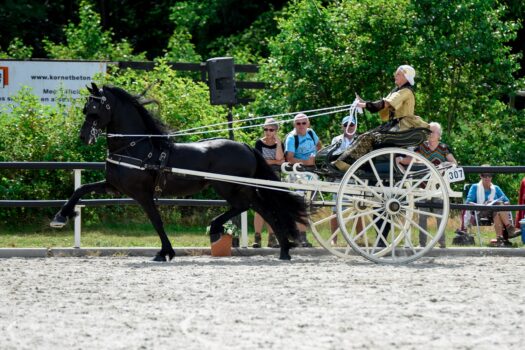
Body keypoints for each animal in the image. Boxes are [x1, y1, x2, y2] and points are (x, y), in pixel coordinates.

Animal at [50, 83, 304, 262]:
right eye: (86, 108)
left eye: (95, 109)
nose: (84, 137)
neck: (135, 146)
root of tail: (246, 146)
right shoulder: (114, 186)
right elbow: (81, 189)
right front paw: (61, 216)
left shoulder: (142, 194)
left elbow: (156, 221)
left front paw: (165, 252)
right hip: (235, 187)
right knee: (259, 208)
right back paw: (281, 248)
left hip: (229, 186)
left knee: (252, 207)